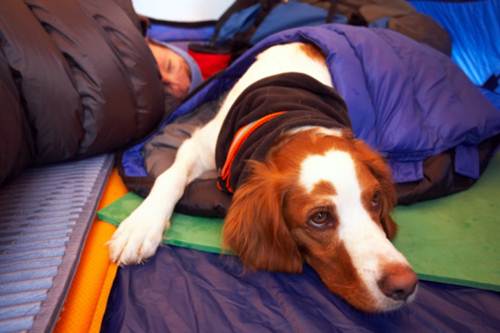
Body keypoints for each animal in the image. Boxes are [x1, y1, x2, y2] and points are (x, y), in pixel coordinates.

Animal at [109, 41, 418, 312]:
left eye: (376, 199)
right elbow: (169, 178)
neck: (293, 121)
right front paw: (141, 225)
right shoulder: (198, 146)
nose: (405, 285)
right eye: (319, 218)